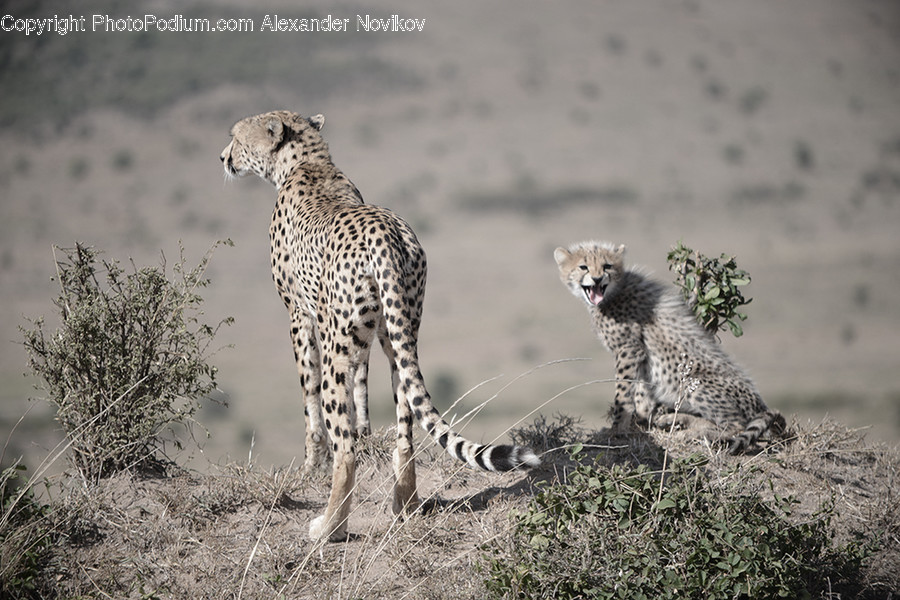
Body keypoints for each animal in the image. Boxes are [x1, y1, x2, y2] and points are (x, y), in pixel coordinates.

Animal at [220, 110, 539, 541]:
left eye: (237, 137)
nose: (223, 157)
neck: (305, 161)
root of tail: (385, 232)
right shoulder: (364, 335)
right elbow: (362, 386)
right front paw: (366, 429)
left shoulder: (299, 315)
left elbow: (309, 395)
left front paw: (310, 465)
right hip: (399, 333)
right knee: (406, 424)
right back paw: (405, 504)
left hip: (339, 345)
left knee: (346, 448)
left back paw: (329, 526)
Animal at [554, 240, 785, 454]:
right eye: (583, 267)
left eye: (607, 266)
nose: (597, 278)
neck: (613, 293)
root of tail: (761, 405)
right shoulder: (640, 356)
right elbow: (641, 392)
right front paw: (642, 420)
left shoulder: (628, 349)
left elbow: (623, 392)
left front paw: (617, 430)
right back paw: (676, 420)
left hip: (695, 382)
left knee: (735, 426)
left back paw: (692, 433)